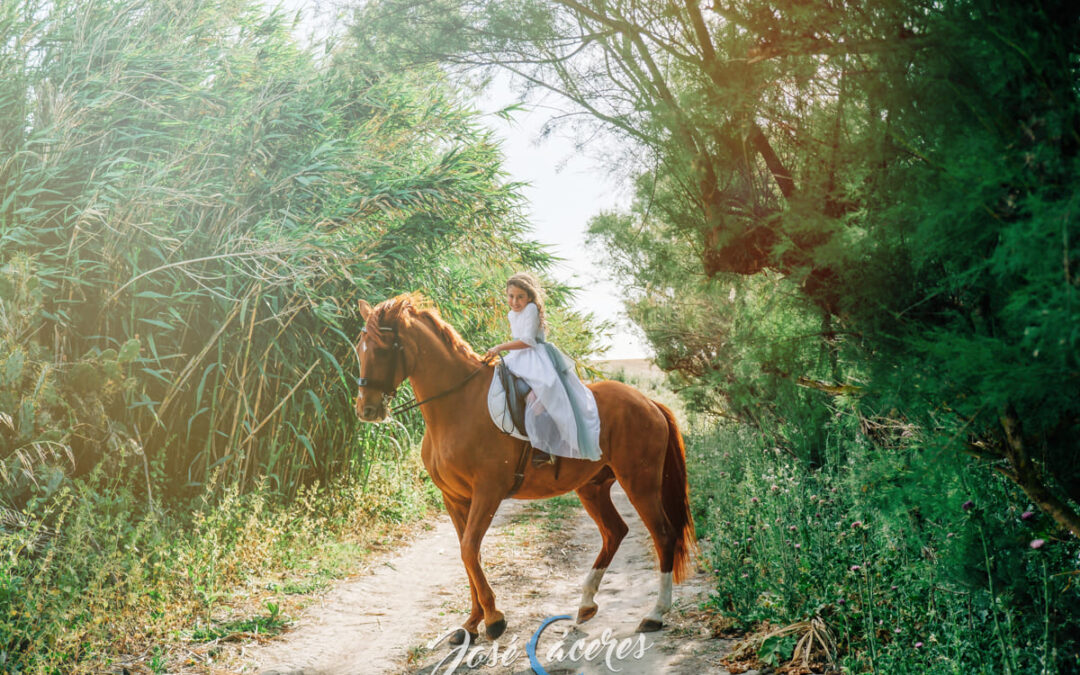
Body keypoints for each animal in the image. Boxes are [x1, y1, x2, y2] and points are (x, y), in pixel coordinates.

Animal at [349, 293, 695, 643]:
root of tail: (649, 403)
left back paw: (655, 614)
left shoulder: (487, 492)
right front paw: (471, 623)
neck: (457, 404)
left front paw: (494, 619)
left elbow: (469, 550)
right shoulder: (454, 498)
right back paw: (586, 605)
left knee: (663, 534)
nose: (366, 410)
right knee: (615, 532)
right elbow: (467, 554)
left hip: (639, 482)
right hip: (593, 487)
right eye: (359, 348)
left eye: (382, 349)